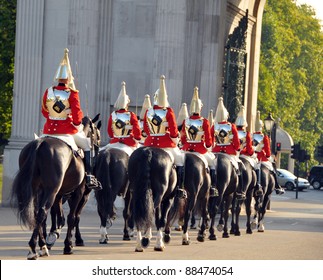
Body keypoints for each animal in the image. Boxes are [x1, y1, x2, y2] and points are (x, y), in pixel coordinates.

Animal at [10, 115, 100, 260]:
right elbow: (71, 217)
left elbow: (59, 216)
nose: (97, 146)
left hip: (38, 190)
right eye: (96, 131)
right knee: (42, 213)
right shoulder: (78, 193)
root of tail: (39, 143)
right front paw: (68, 245)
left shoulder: (59, 194)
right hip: (51, 190)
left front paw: (53, 236)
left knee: (37, 214)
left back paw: (42, 246)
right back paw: (33, 248)